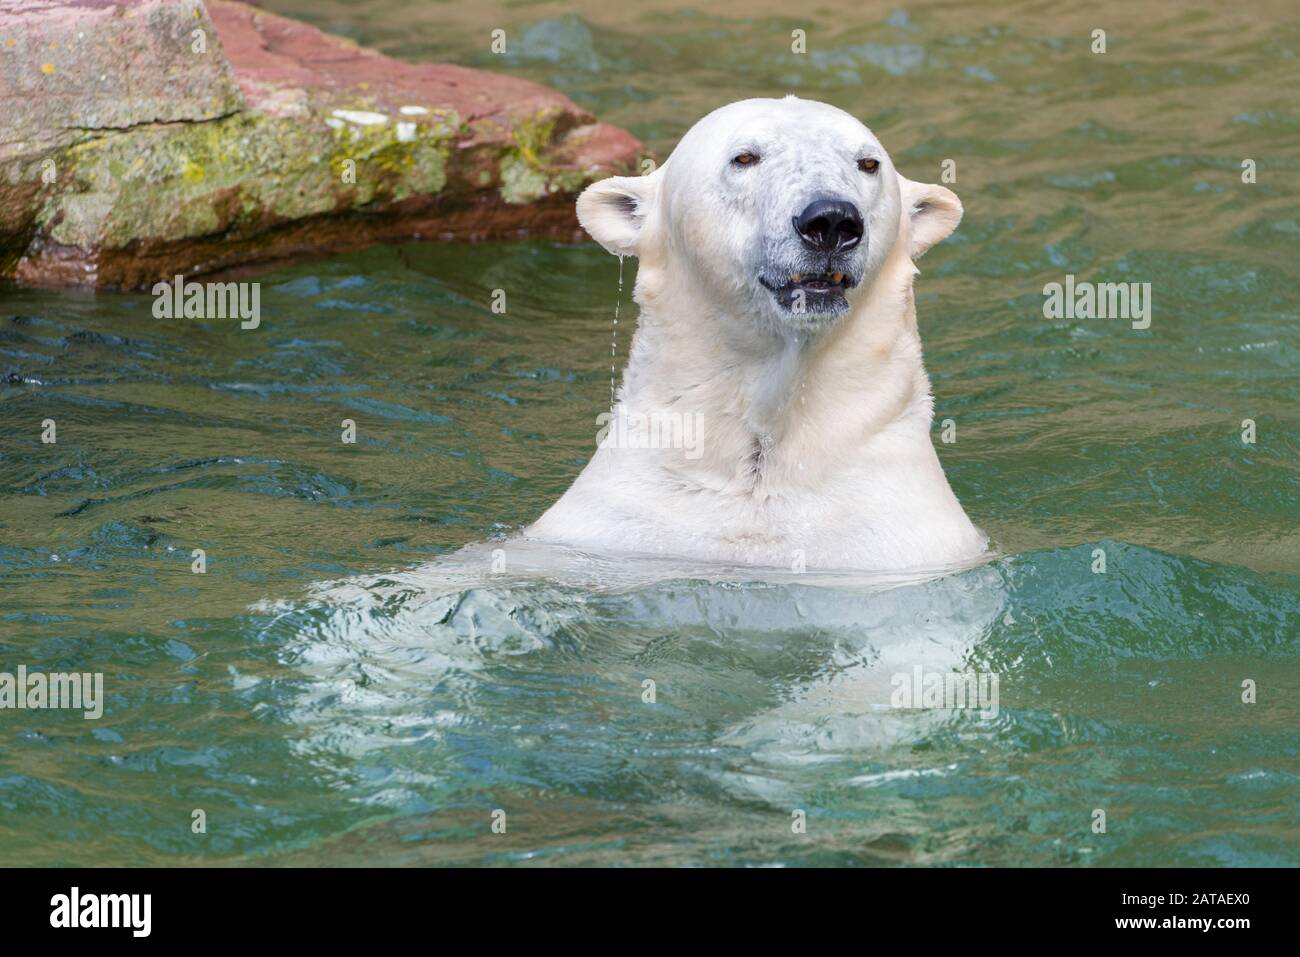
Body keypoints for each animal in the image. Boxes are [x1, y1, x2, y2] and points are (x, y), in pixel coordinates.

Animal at [522, 95, 987, 574]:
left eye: (868, 162)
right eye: (744, 157)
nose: (832, 221)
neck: (760, 466)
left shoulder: (895, 535)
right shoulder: (618, 522)